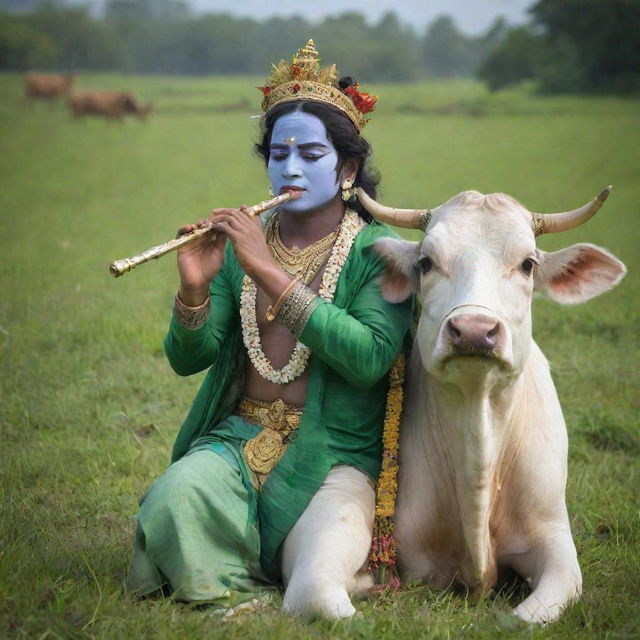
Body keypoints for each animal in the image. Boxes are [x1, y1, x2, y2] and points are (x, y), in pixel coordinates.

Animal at [358, 186, 628, 624]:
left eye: (528, 264)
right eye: (426, 262)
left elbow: (523, 618)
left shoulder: (556, 540)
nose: (473, 331)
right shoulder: (415, 558)